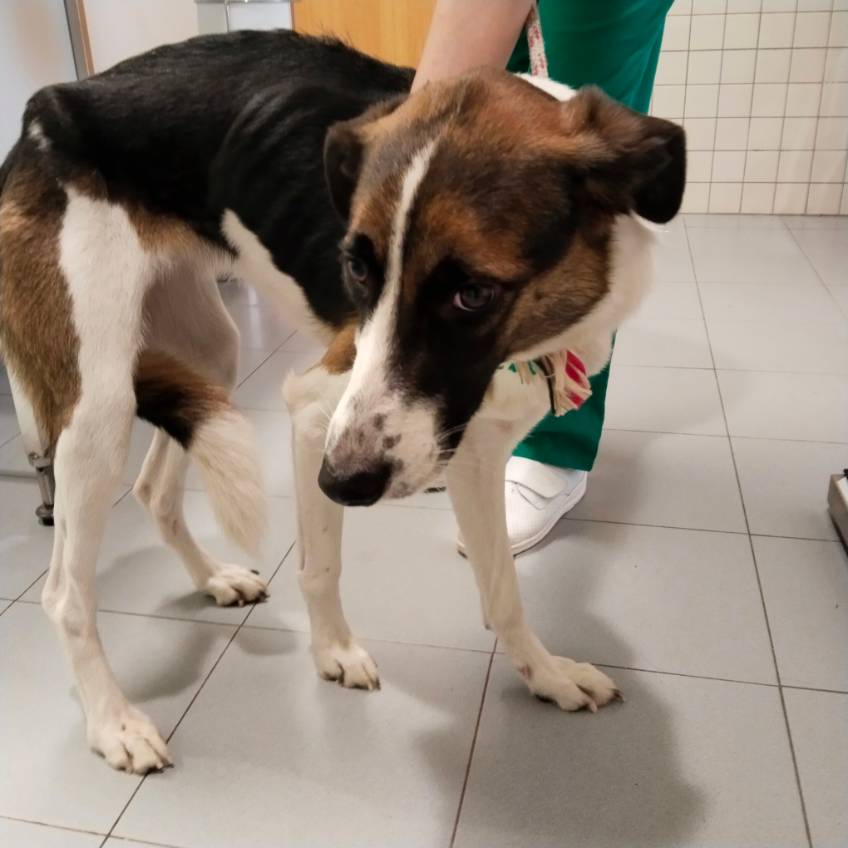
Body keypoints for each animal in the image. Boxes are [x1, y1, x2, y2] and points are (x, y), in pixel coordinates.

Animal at [0, 30, 685, 774]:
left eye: (472, 293)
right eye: (356, 266)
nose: (344, 483)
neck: (534, 338)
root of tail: (46, 109)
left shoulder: (471, 453)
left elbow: (503, 591)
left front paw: (547, 675)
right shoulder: (316, 414)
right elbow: (320, 564)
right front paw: (332, 650)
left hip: (209, 353)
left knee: (155, 488)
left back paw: (215, 579)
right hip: (97, 407)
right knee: (64, 593)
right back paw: (113, 722)